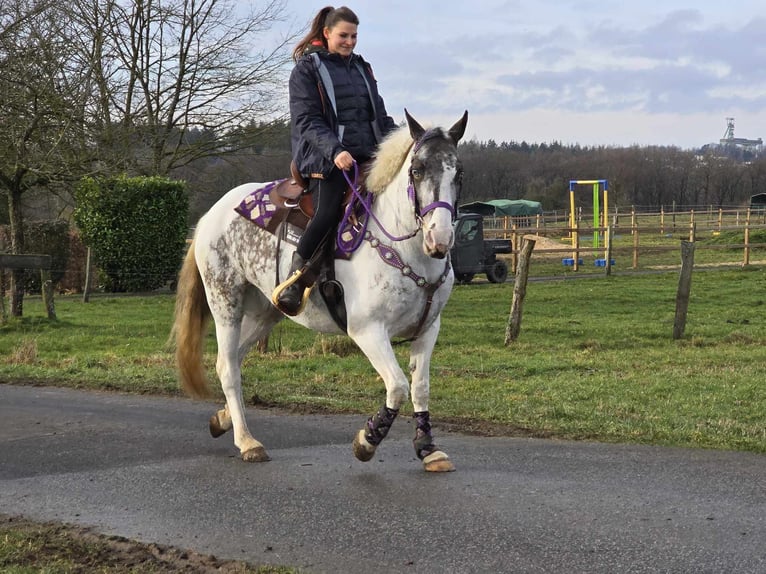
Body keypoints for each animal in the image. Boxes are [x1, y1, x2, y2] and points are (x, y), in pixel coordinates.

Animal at [172, 110, 468, 474]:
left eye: (458, 172)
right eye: (417, 170)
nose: (439, 239)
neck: (406, 249)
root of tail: (210, 216)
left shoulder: (428, 328)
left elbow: (420, 388)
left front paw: (428, 449)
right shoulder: (367, 330)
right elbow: (398, 386)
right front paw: (368, 440)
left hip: (266, 311)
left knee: (234, 359)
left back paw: (224, 418)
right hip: (225, 301)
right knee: (228, 368)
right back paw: (247, 441)